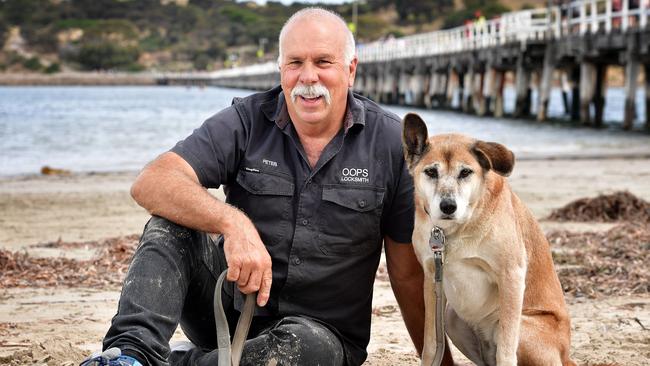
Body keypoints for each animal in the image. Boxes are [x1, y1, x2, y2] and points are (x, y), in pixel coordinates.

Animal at [400, 113, 572, 366]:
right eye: (431, 172)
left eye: (465, 172)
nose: (448, 206)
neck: (455, 230)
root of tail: (566, 354)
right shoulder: (432, 278)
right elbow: (431, 345)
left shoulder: (511, 275)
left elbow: (506, 352)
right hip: (451, 318)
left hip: (522, 326)